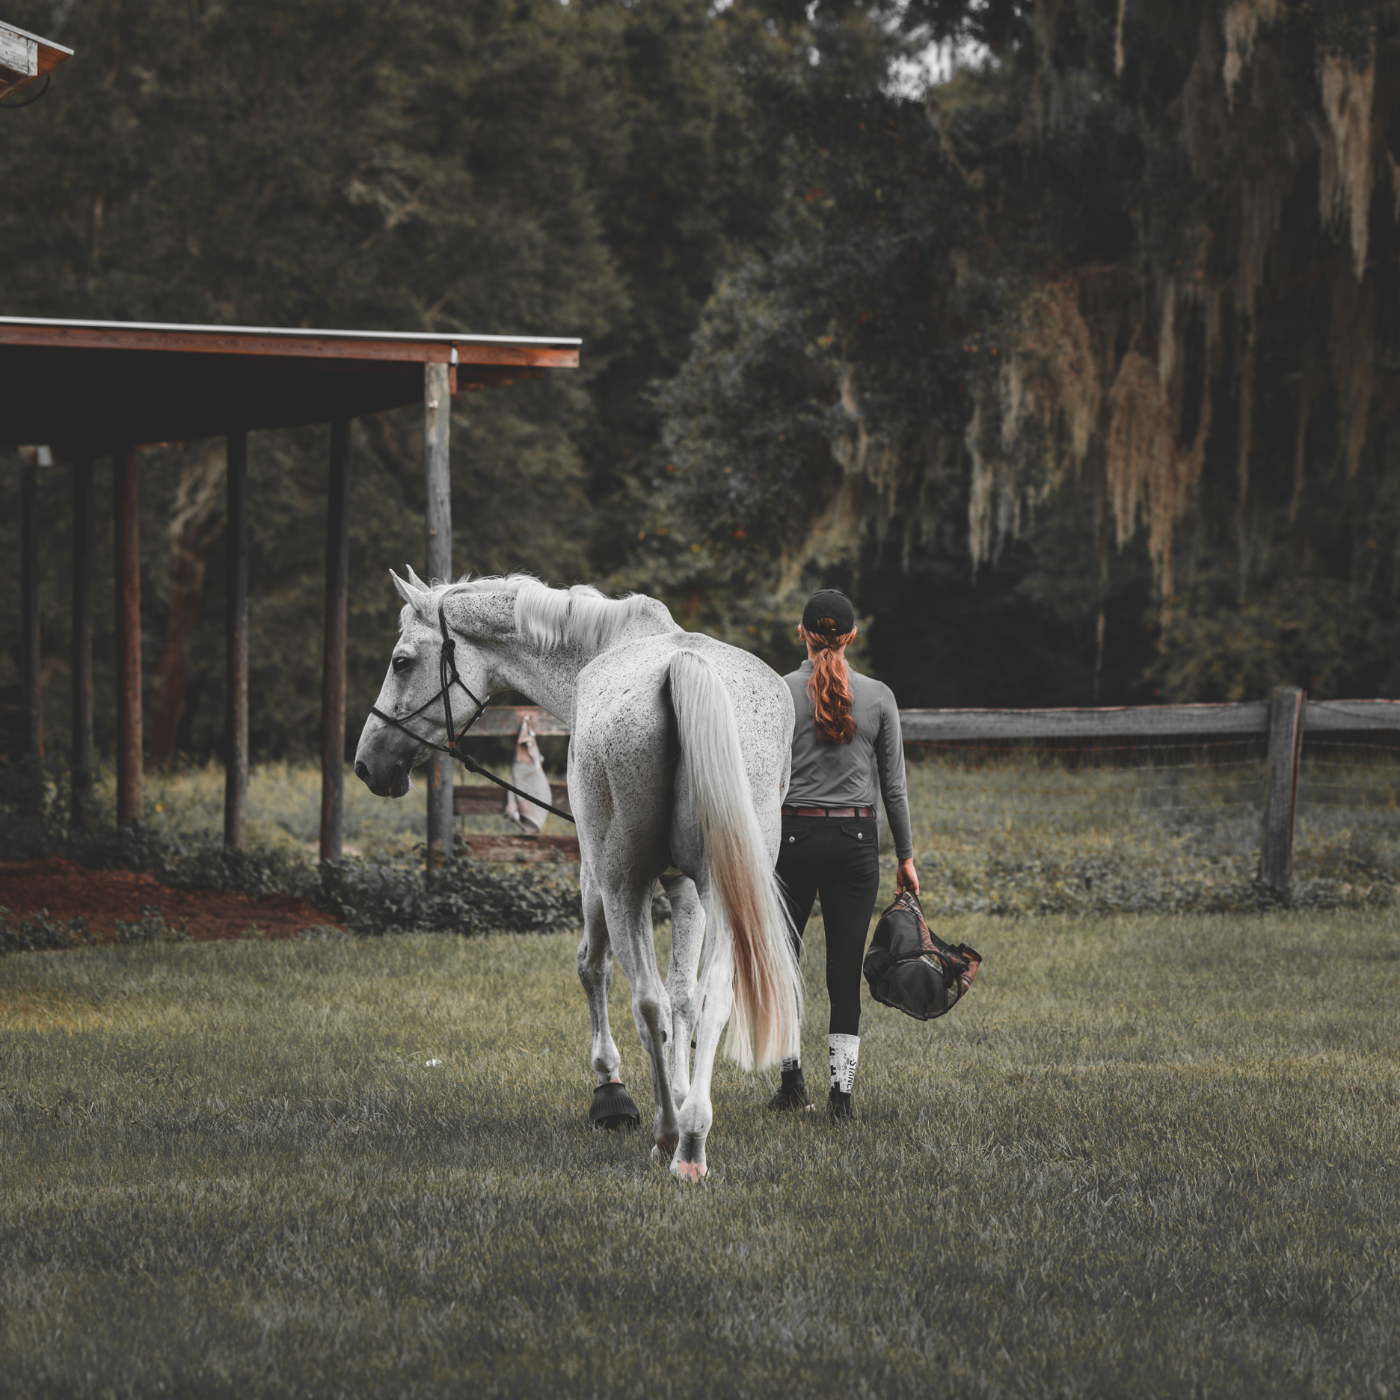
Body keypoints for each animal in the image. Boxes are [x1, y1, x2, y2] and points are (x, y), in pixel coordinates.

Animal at [352, 570, 802, 1181]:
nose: (366, 764)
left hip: (620, 882)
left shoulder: (597, 874)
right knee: (710, 998)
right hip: (723, 887)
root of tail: (683, 667)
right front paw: (682, 1095)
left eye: (401, 662)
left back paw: (668, 1135)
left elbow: (594, 968)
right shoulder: (687, 888)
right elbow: (686, 999)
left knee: (645, 999)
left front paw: (612, 1090)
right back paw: (692, 1140)